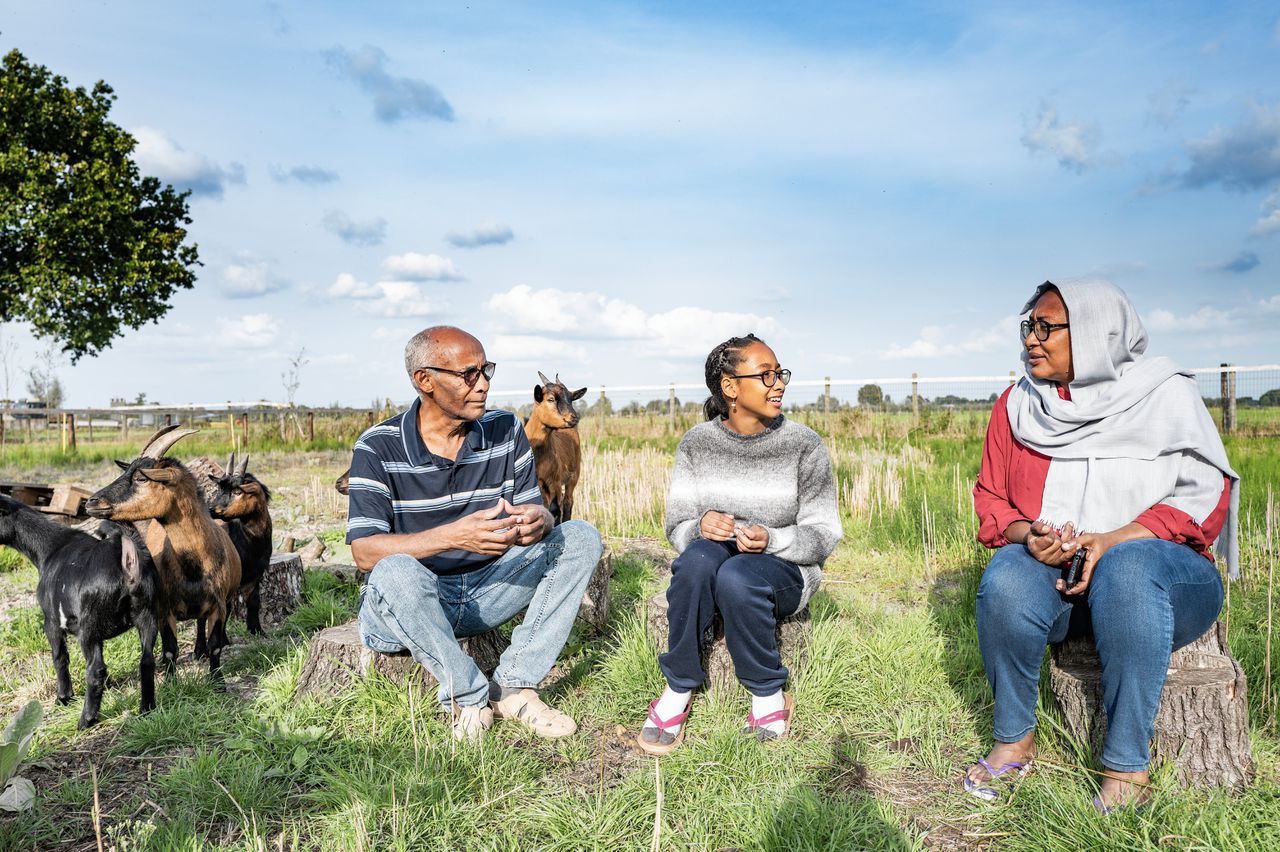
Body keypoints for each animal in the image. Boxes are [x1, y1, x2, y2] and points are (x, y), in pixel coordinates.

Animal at [0, 493, 158, 726]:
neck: (50, 547)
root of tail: (126, 558)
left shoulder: (51, 621)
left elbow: (59, 657)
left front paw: (63, 698)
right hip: (148, 615)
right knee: (146, 661)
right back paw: (146, 709)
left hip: (89, 627)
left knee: (95, 670)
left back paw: (86, 720)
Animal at [88, 427, 243, 680]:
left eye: (141, 477)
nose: (91, 502)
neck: (193, 566)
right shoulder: (164, 609)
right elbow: (171, 649)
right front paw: (171, 681)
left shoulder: (218, 606)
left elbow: (215, 646)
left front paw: (218, 680)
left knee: (200, 623)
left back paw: (199, 650)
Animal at [522, 370, 586, 524]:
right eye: (550, 399)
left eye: (571, 399)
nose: (574, 418)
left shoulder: (555, 482)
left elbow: (555, 508)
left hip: (574, 475)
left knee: (567, 501)